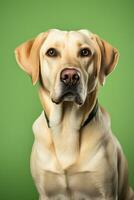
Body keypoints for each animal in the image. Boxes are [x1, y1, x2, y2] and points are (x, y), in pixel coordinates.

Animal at [14, 28, 134, 199]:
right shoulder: (46, 193)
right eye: (51, 52)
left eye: (85, 52)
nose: (70, 76)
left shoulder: (107, 192)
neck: (66, 128)